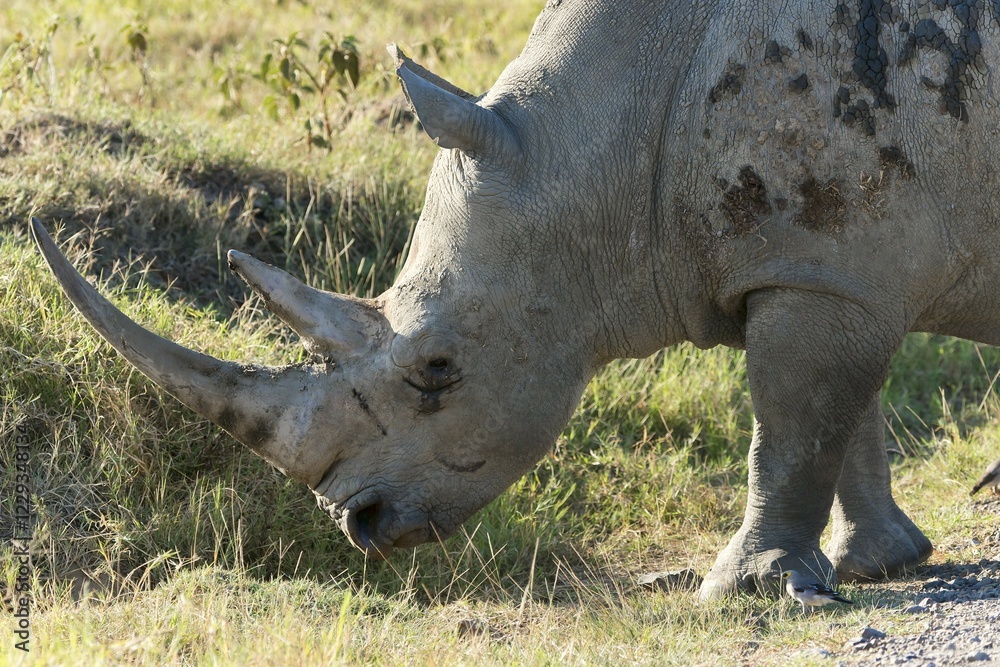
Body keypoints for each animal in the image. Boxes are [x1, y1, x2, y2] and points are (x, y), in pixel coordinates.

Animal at [36, 0, 1000, 598]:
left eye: (437, 369)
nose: (359, 522)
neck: (600, 146)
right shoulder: (817, 258)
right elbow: (842, 415)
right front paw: (872, 564)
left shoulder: (818, 258)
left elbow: (791, 424)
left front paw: (745, 588)